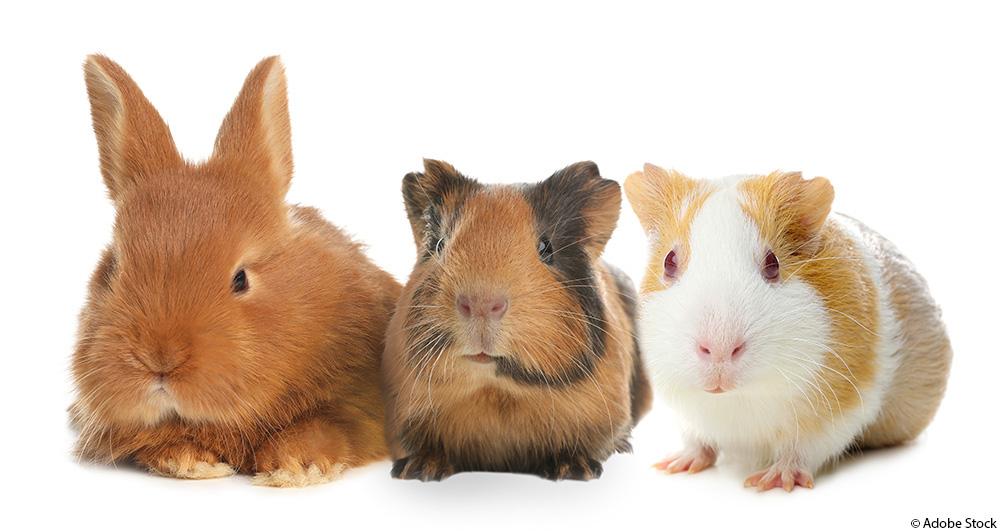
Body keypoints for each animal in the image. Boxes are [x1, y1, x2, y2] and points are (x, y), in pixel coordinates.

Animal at [70, 54, 401, 487]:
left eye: (240, 279)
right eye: (115, 269)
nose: (160, 359)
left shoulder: (355, 402)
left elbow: (326, 425)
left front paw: (294, 465)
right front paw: (190, 462)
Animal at [381, 159, 652, 481]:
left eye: (546, 247)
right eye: (439, 246)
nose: (481, 303)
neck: (498, 391)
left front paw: (574, 470)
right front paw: (419, 470)